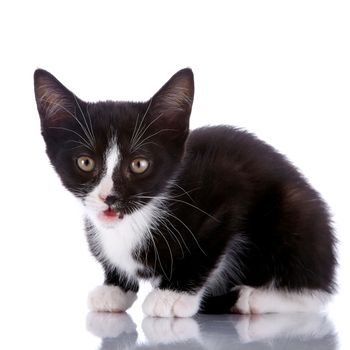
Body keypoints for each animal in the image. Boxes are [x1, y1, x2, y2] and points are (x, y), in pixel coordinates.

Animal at [33, 67, 336, 318]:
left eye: (139, 164)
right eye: (86, 162)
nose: (109, 197)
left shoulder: (228, 188)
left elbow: (206, 248)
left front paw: (172, 295)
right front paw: (114, 288)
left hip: (295, 213)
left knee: (314, 293)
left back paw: (253, 298)